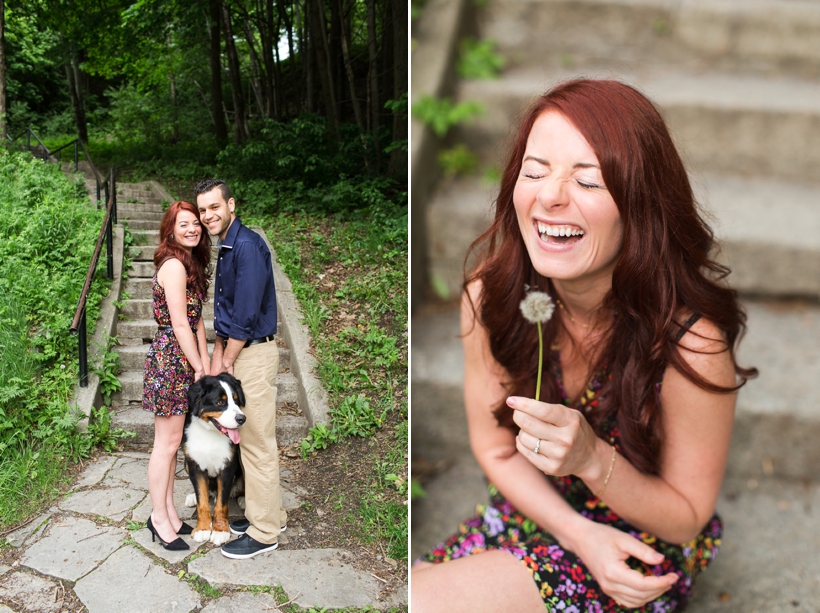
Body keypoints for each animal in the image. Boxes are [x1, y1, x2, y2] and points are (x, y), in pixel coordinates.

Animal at [179, 370, 243, 544]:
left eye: (236, 401)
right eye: (220, 402)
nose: (242, 418)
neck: (209, 434)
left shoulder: (228, 467)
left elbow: (221, 504)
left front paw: (220, 531)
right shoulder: (194, 465)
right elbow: (202, 502)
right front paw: (202, 528)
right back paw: (193, 497)